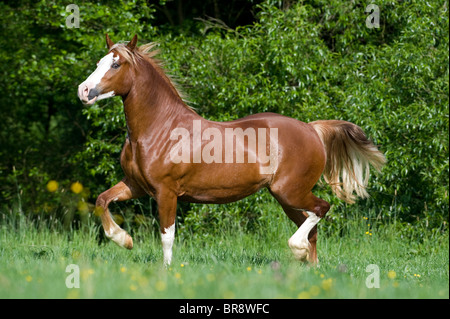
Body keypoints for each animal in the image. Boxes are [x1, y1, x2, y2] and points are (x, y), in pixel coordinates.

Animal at [76, 34, 384, 268]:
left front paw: (166, 271)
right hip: (285, 197)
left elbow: (167, 235)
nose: (84, 90)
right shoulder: (136, 185)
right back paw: (310, 266)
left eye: (116, 64)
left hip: (290, 191)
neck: (160, 129)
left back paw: (298, 251)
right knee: (313, 225)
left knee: (321, 209)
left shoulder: (166, 192)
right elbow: (102, 200)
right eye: (99, 62)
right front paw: (124, 240)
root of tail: (312, 129)